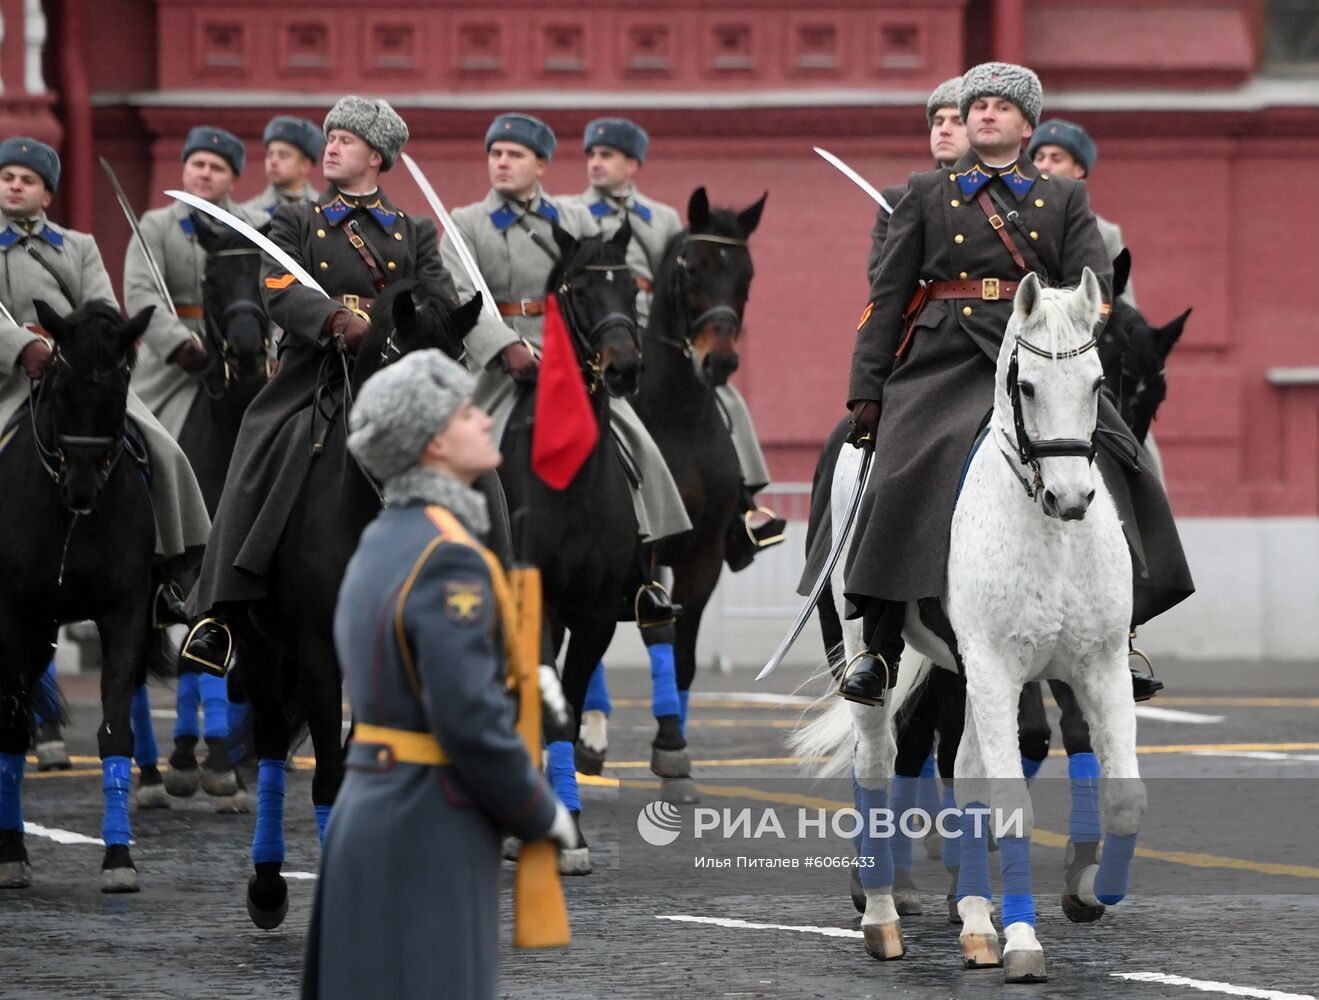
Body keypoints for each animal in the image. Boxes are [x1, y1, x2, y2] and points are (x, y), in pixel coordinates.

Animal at [0, 302, 162, 897]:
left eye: (118, 390)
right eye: (62, 388)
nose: (84, 491)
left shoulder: (124, 612)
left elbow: (116, 730)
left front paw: (119, 857)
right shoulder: (13, 616)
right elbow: (10, 729)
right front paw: (11, 853)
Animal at [240, 278, 482, 928]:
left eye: (462, 375)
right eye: (401, 367)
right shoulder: (319, 651)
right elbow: (328, 775)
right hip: (262, 647)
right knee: (270, 739)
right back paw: (266, 884)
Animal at [791, 271, 1144, 986]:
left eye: (1096, 382)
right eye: (1027, 386)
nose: (1072, 498)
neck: (1048, 534)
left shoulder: (1096, 667)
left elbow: (1121, 798)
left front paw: (1093, 889)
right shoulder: (997, 669)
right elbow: (1009, 804)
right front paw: (1025, 942)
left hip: (968, 673)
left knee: (964, 769)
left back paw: (976, 921)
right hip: (873, 648)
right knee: (878, 761)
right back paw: (883, 916)